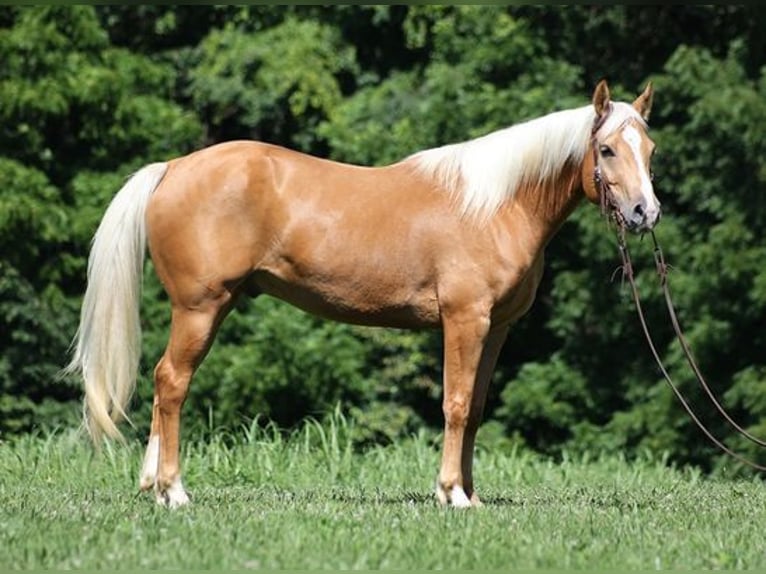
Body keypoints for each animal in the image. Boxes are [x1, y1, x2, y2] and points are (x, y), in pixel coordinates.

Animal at [67, 80, 660, 508]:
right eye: (606, 149)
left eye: (649, 149)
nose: (645, 213)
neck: (494, 205)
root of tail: (172, 169)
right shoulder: (464, 320)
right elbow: (455, 404)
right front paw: (451, 495)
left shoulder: (496, 329)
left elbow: (474, 408)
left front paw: (470, 494)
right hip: (200, 308)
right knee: (172, 383)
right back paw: (174, 492)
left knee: (164, 383)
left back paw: (152, 485)